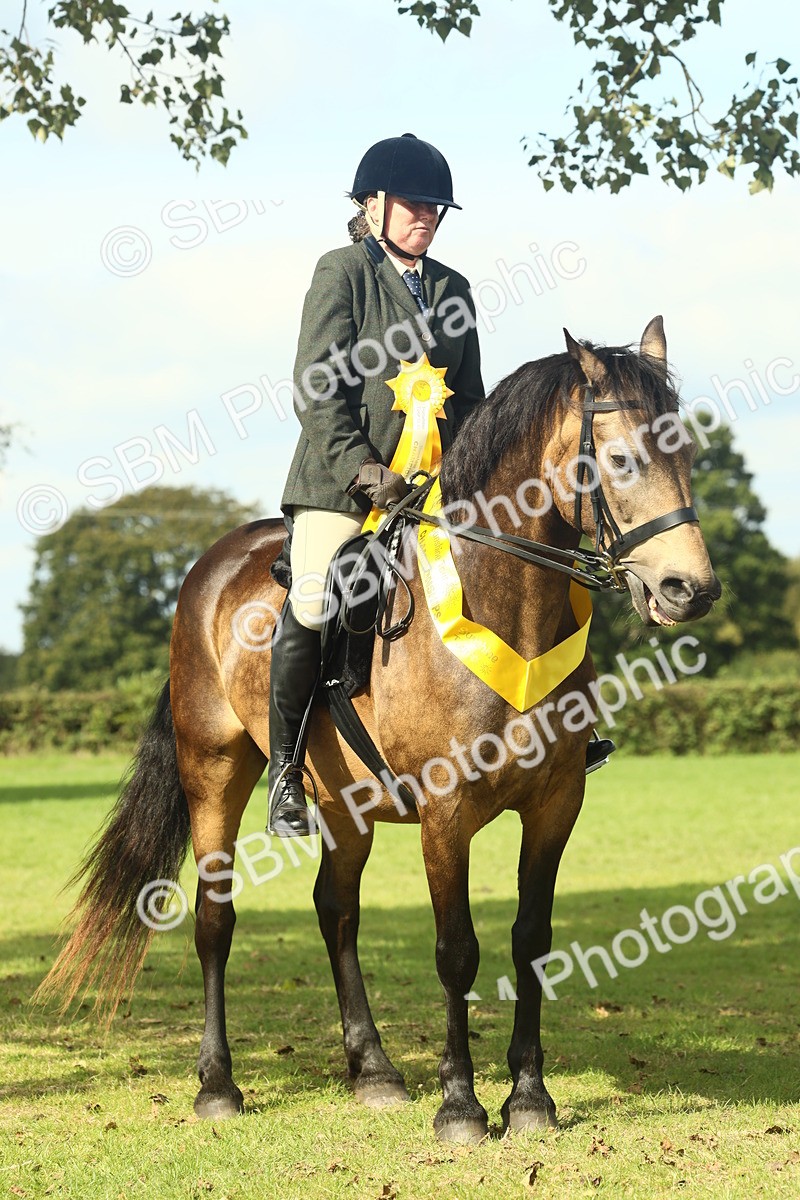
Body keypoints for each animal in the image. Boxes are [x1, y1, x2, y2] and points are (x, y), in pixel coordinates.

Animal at [37, 317, 721, 1143]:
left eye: (689, 453)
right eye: (621, 459)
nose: (690, 590)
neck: (510, 613)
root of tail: (207, 567)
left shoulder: (556, 804)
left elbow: (530, 941)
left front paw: (529, 1099)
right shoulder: (446, 813)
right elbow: (457, 950)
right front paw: (460, 1105)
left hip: (345, 802)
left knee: (337, 912)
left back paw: (374, 1071)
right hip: (215, 773)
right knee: (214, 919)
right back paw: (219, 1085)